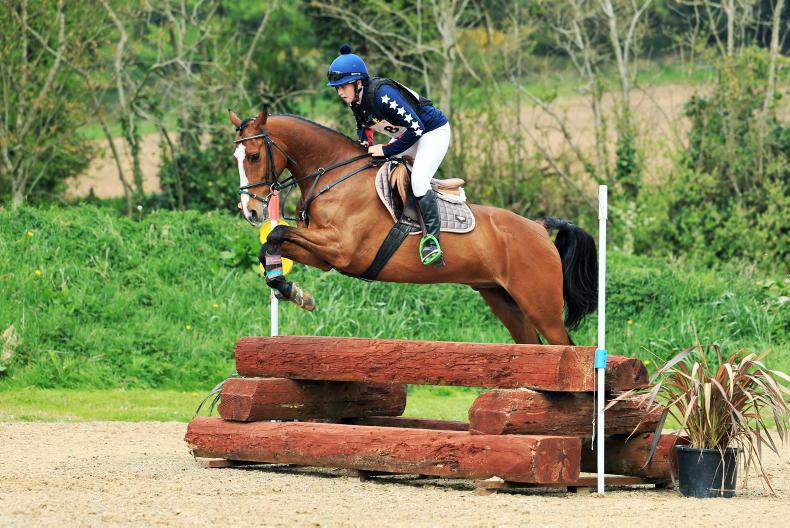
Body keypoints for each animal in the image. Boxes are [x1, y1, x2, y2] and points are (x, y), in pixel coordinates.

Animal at [229, 108, 598, 345]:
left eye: (254, 156)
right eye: (236, 158)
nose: (251, 211)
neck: (336, 176)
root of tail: (539, 228)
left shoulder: (342, 249)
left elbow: (277, 233)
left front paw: (291, 291)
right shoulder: (324, 256)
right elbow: (271, 243)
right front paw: (291, 291)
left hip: (541, 306)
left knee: (565, 347)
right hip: (503, 301)